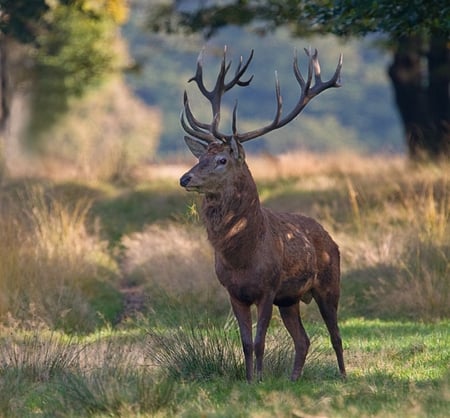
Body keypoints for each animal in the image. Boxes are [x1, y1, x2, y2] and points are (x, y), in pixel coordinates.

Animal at [179, 45, 344, 382]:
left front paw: (260, 380)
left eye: (221, 160)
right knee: (303, 339)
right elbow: (245, 342)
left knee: (335, 335)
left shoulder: (268, 288)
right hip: (290, 299)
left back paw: (345, 376)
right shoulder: (233, 291)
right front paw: (249, 380)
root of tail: (329, 237)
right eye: (201, 156)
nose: (185, 178)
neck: (243, 257)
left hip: (329, 283)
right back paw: (293, 380)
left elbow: (259, 340)